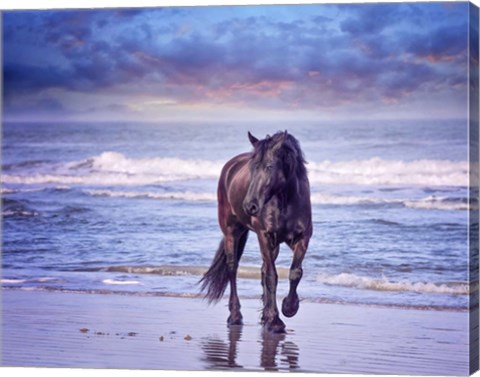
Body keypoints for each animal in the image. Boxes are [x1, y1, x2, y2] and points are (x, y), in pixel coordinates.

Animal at [201, 129, 314, 332]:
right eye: (253, 168)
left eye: (269, 166)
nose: (249, 206)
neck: (285, 201)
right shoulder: (264, 236)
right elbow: (271, 276)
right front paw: (275, 321)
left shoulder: (302, 238)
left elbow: (295, 272)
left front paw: (288, 308)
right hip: (231, 232)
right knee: (233, 269)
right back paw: (235, 316)